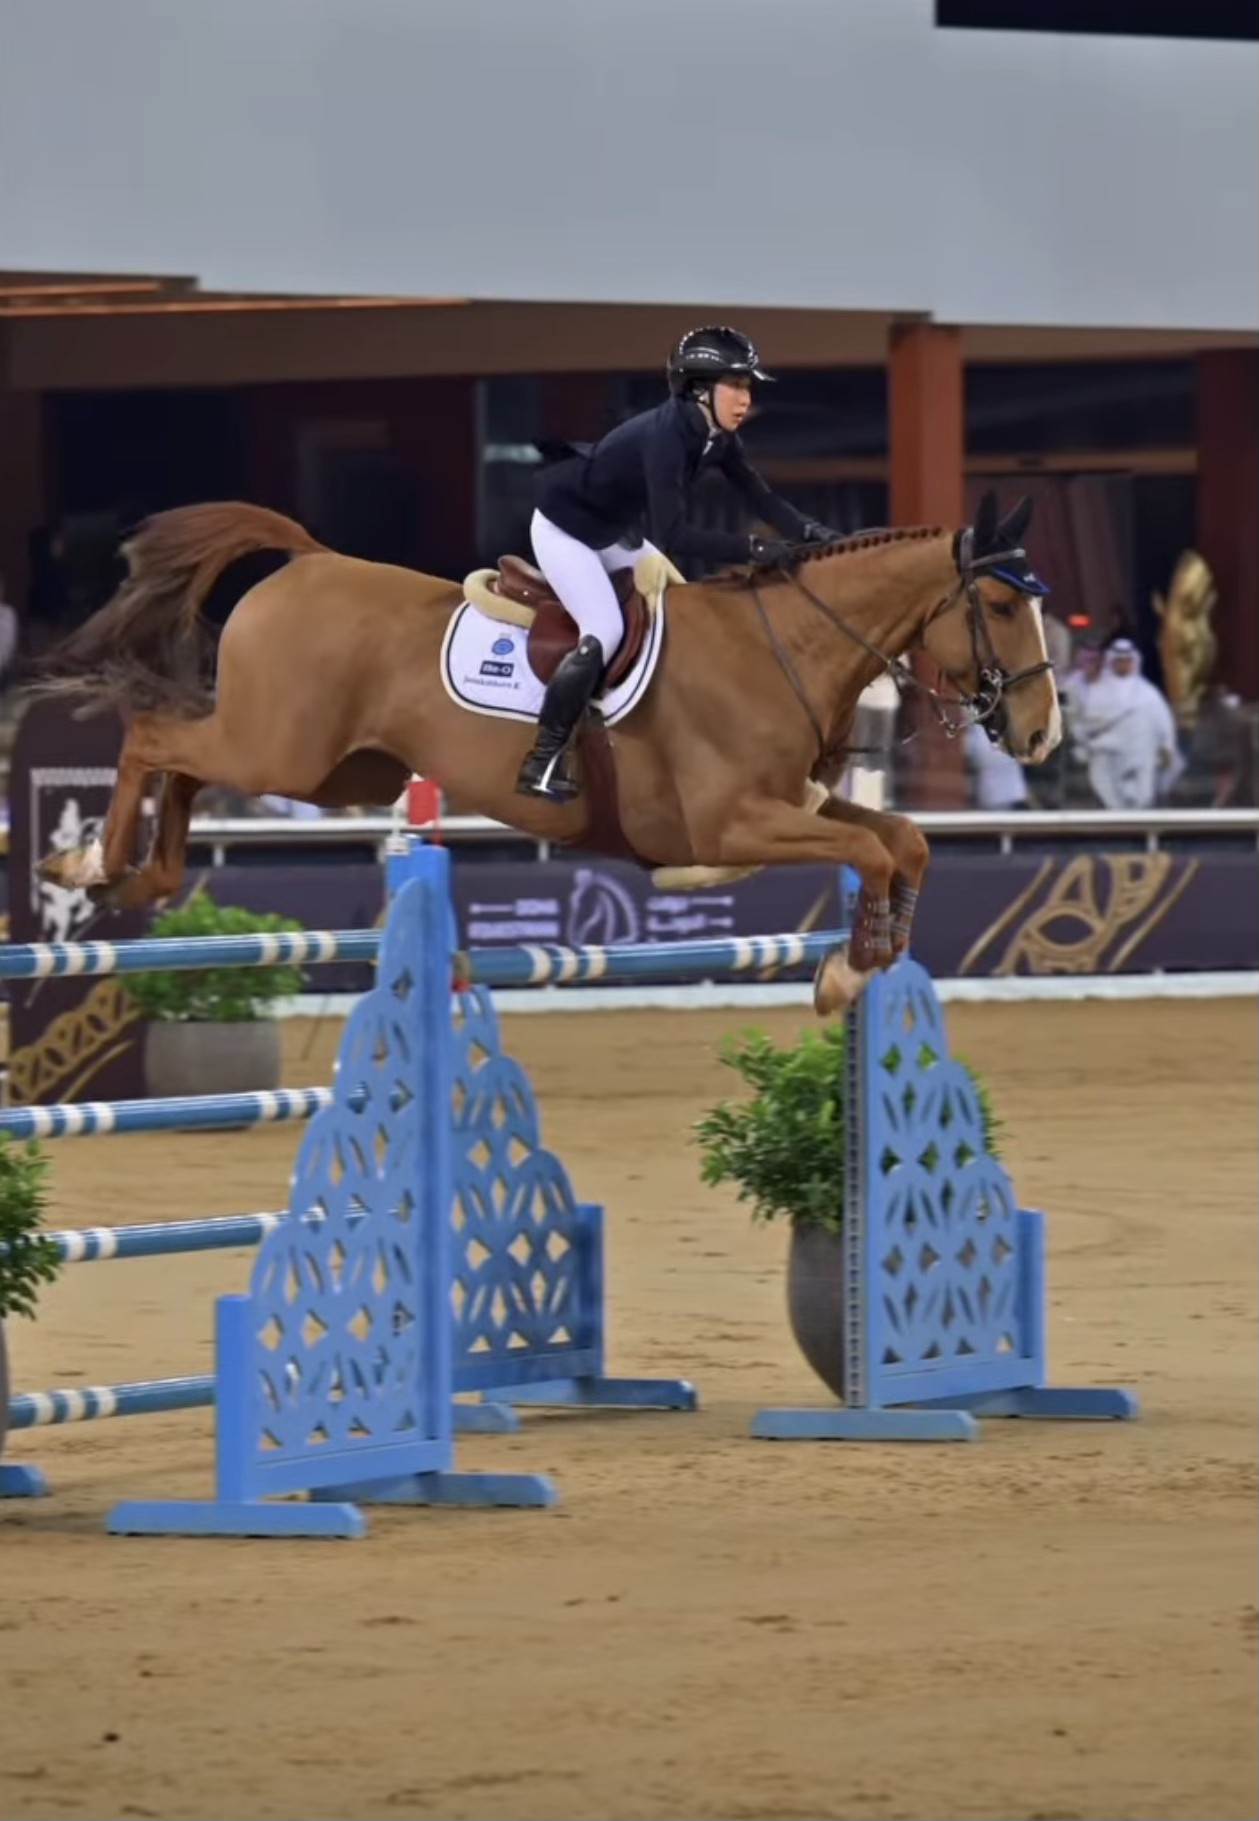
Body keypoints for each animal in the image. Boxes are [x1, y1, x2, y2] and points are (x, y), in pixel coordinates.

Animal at [35, 489, 1060, 1013]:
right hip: (276, 752)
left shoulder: (791, 806)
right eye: (997, 603)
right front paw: (849, 970)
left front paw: (871, 954)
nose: (1041, 733)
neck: (785, 645)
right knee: (154, 737)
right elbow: (867, 849)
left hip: (333, 768)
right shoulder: (732, 824)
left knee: (182, 766)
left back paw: (141, 876)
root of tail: (308, 559)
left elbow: (900, 840)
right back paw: (88, 861)